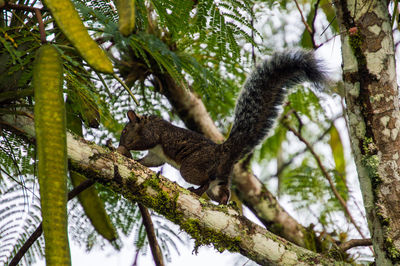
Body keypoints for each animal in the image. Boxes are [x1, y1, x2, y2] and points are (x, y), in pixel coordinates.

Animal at [117, 49, 326, 204]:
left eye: (125, 130)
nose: (121, 141)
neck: (146, 122)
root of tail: (223, 151)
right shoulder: (156, 155)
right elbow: (149, 161)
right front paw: (132, 158)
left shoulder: (153, 134)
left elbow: (145, 142)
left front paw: (124, 148)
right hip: (220, 181)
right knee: (221, 190)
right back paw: (224, 202)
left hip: (193, 167)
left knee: (204, 180)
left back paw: (196, 190)